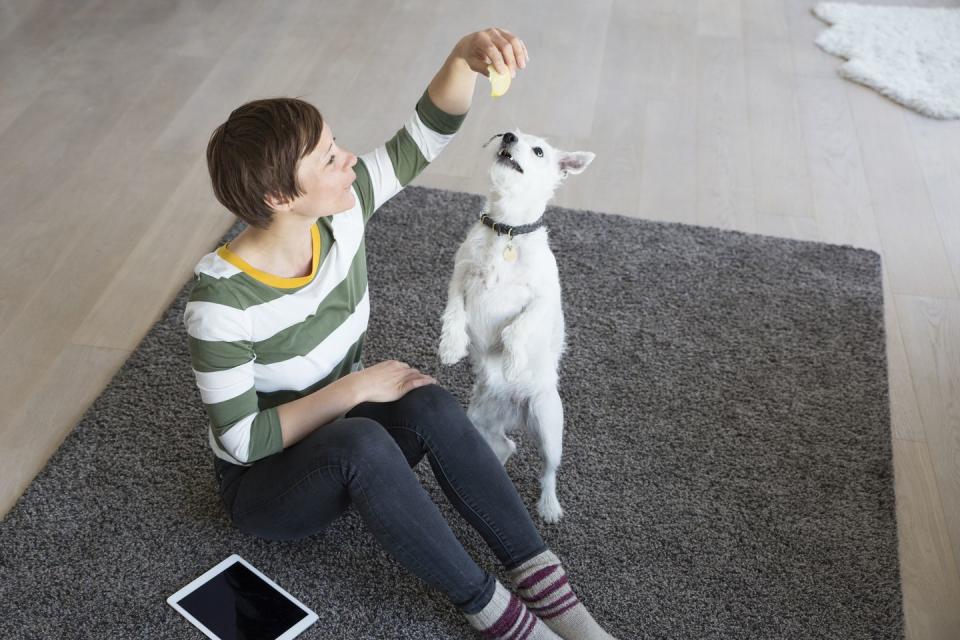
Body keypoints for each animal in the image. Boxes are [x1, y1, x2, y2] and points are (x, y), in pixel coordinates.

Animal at [440, 129, 592, 520]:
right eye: (510, 132)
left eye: (538, 151)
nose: (508, 137)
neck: (507, 229)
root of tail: (514, 411)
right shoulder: (459, 277)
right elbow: (454, 312)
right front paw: (451, 347)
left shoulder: (543, 299)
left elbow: (516, 329)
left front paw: (511, 362)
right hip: (479, 421)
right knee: (505, 446)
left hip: (548, 424)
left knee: (549, 470)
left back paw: (549, 506)